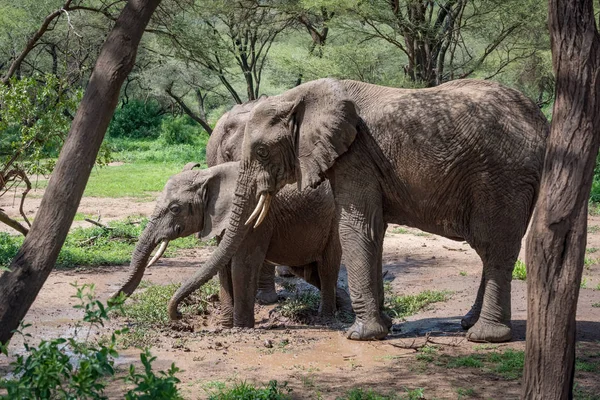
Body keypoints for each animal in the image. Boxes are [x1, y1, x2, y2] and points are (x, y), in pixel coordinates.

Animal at [113, 161, 350, 330]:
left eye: (175, 209)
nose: (179, 317)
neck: (209, 175)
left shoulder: (255, 217)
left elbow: (243, 264)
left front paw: (241, 328)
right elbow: (224, 265)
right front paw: (225, 325)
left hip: (334, 224)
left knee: (326, 269)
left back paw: (326, 317)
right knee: (309, 273)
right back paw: (345, 309)